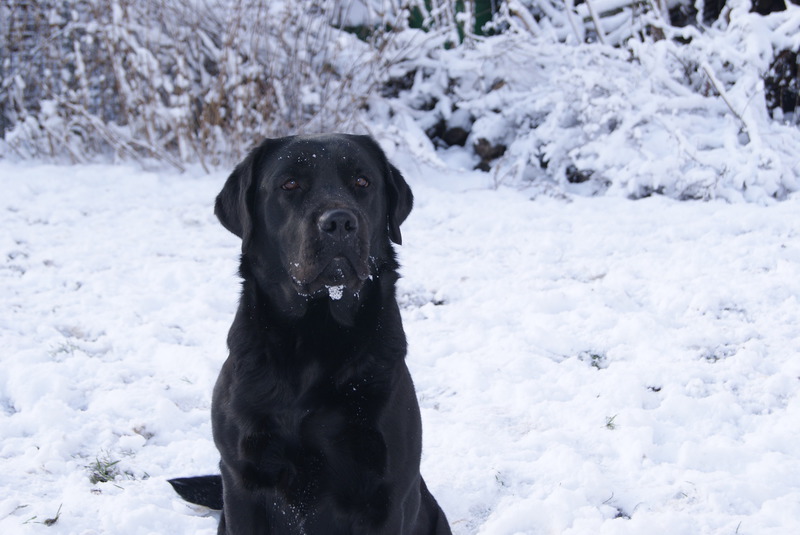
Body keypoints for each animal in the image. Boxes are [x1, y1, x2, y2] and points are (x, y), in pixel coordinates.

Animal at [169, 134, 451, 535]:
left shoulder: (386, 492)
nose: (340, 222)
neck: (314, 337)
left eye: (362, 181)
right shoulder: (241, 480)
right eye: (289, 184)